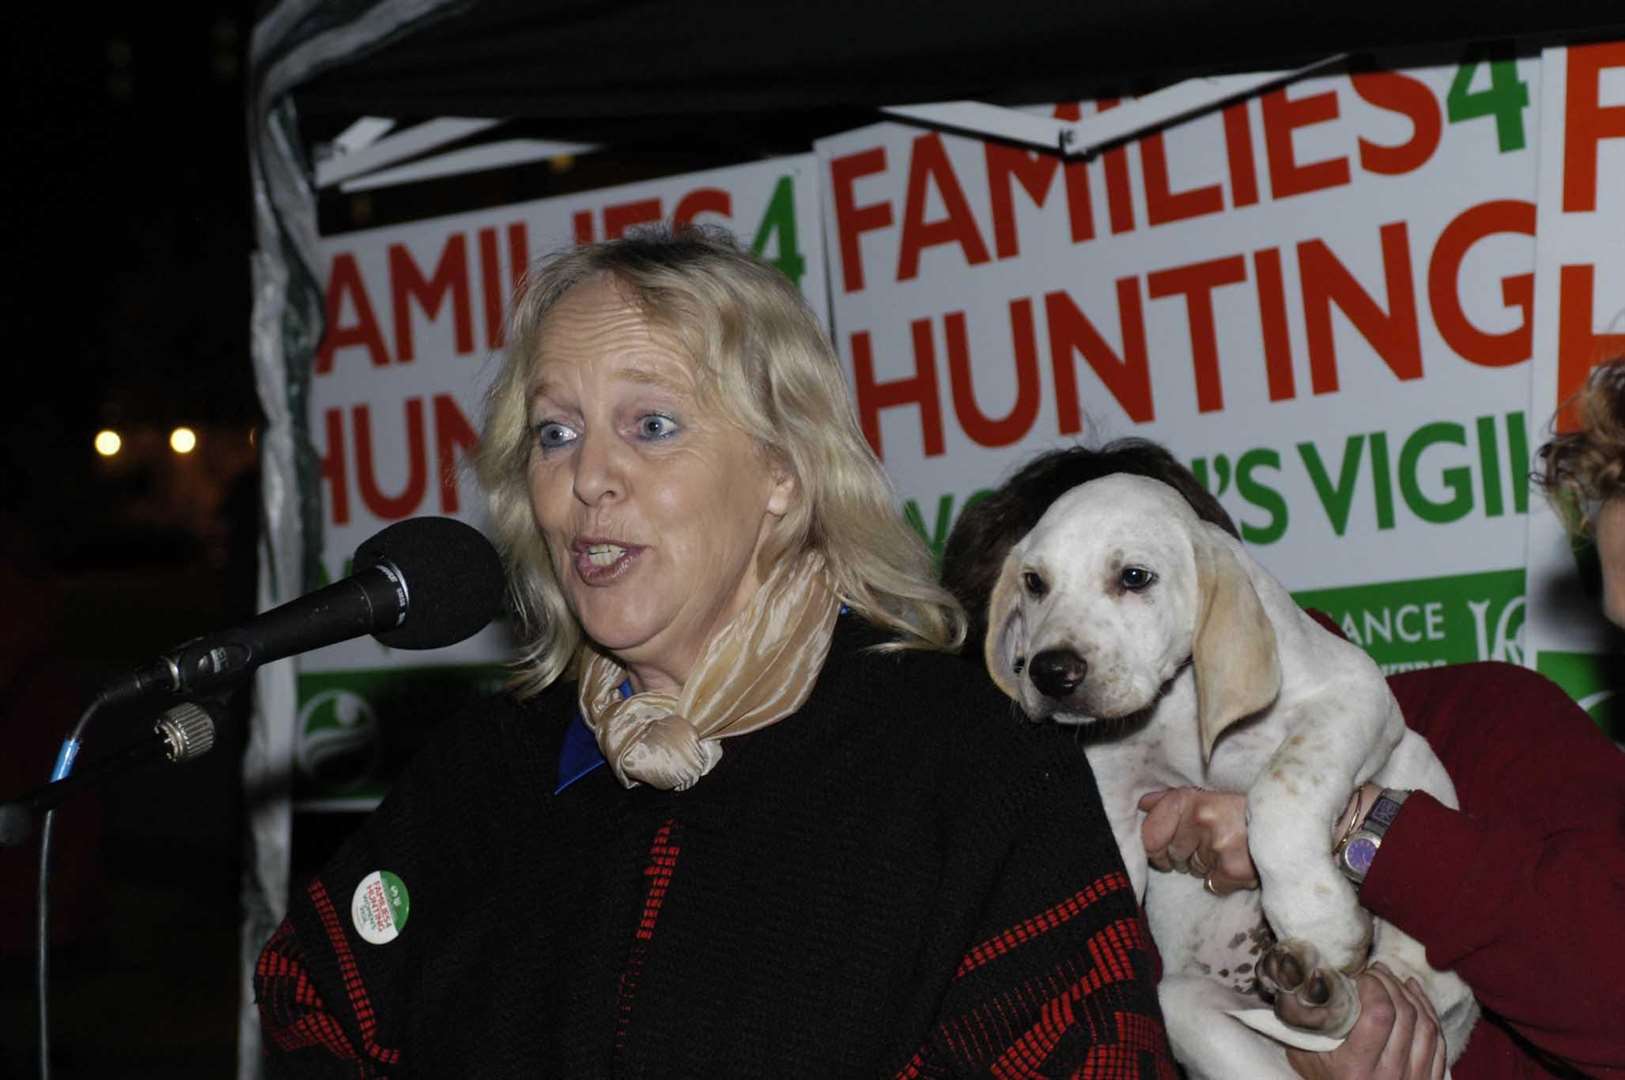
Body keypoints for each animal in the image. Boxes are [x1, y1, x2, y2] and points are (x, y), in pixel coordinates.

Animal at [981, 474, 1482, 1078]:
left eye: (1134, 577)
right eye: (1034, 583)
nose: (1050, 672)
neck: (1178, 698)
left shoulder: (1352, 696)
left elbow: (1278, 793)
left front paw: (1318, 920)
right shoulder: (1116, 795)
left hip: (1418, 813)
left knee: (1392, 980)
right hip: (1189, 1009)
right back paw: (1310, 994)